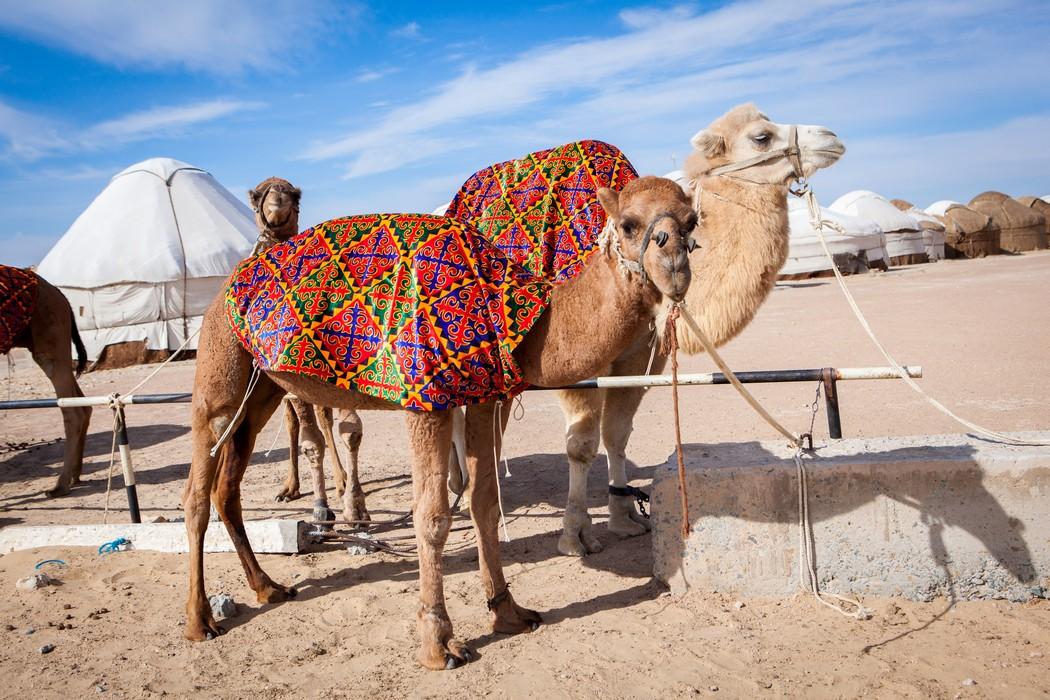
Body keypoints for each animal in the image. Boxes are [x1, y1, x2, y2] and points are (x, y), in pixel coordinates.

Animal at [1, 264, 90, 497]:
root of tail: (61, 295)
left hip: (50, 335)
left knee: (73, 412)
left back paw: (60, 485)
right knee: (84, 404)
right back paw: (75, 476)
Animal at [245, 180, 369, 524]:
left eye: (296, 196)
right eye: (255, 197)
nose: (277, 200)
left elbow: (349, 430)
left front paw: (355, 503)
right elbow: (310, 440)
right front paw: (321, 507)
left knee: (323, 420)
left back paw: (339, 482)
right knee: (294, 425)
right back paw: (291, 487)